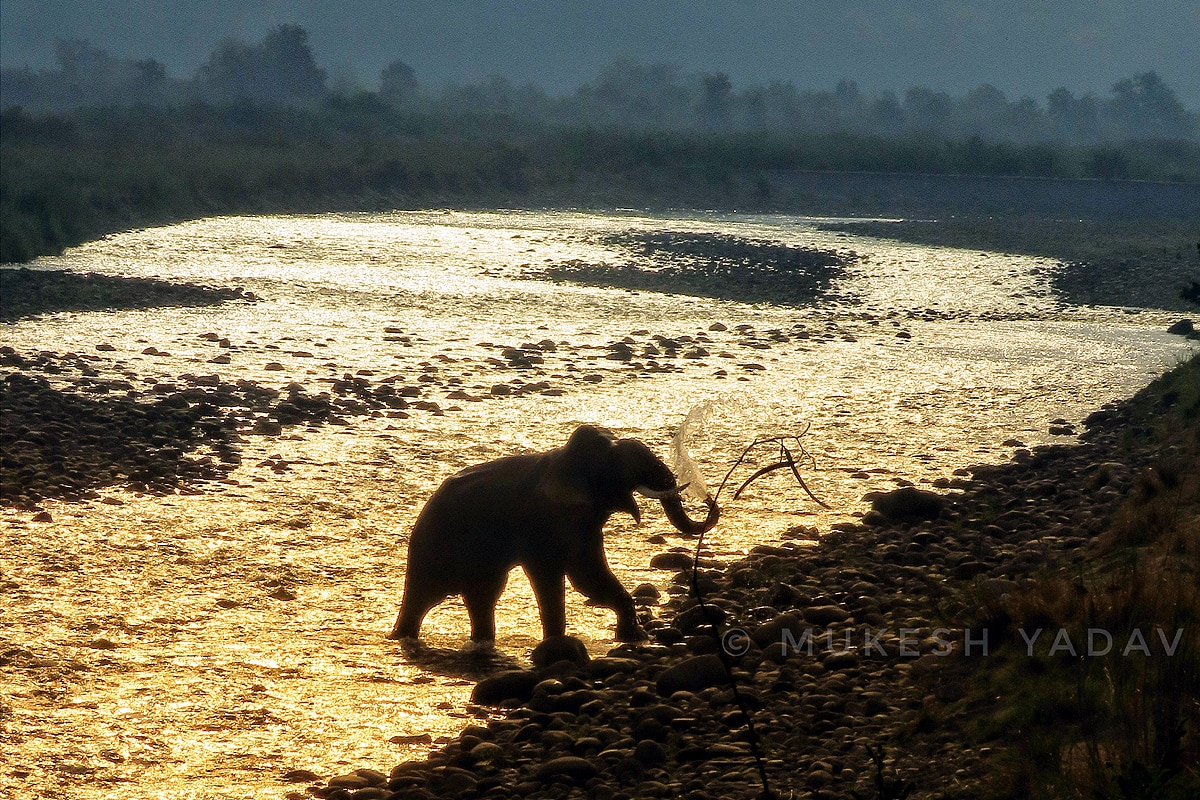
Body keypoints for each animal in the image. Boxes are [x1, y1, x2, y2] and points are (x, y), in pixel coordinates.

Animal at [388, 424, 719, 644]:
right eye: (613, 464)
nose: (705, 496)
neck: (560, 458)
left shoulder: (582, 523)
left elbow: (589, 575)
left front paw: (633, 637)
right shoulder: (541, 523)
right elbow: (567, 575)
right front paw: (558, 642)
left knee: (484, 595)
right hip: (432, 550)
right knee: (424, 598)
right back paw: (402, 637)